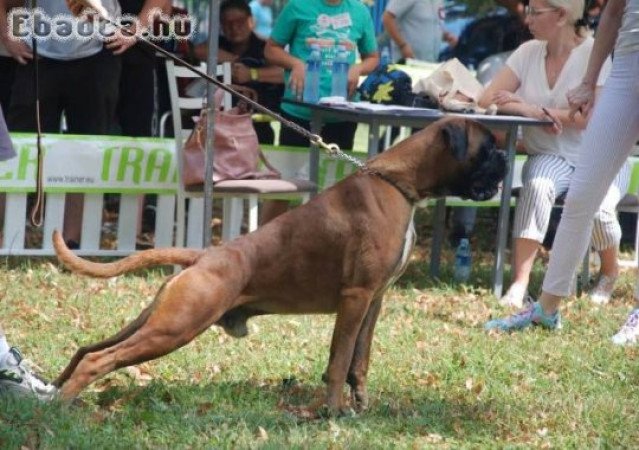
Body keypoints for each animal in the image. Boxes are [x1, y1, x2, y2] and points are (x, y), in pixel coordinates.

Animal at [50, 117, 508, 418]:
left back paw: (53, 390)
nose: (506, 157)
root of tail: (203, 257)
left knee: (88, 348)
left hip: (159, 320)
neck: (396, 183)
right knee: (99, 359)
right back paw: (63, 405)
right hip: (176, 327)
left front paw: (359, 405)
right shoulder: (356, 298)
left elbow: (359, 359)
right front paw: (332, 414)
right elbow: (339, 360)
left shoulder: (374, 300)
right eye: (487, 148)